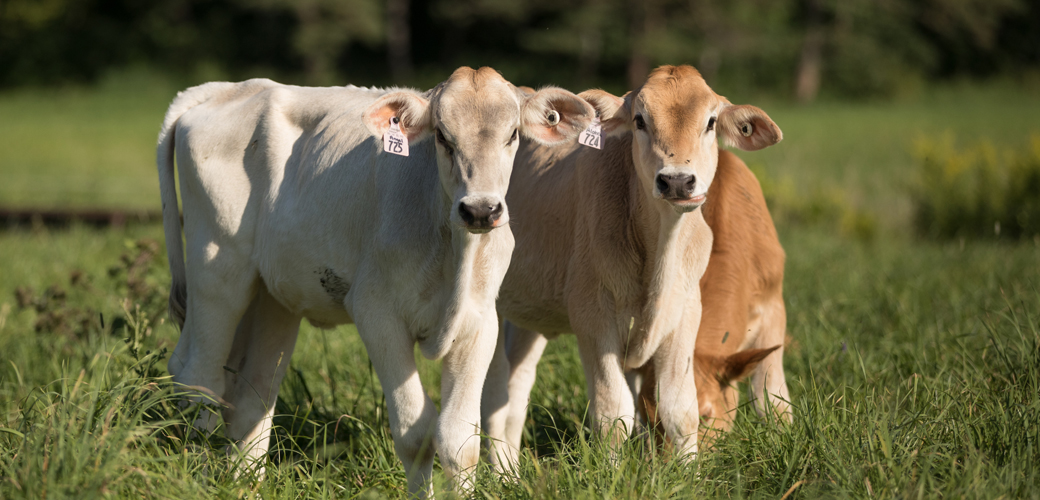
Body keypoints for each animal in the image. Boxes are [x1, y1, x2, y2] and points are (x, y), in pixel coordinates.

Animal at [154, 67, 594, 494]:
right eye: (442, 136)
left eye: (513, 134)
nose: (480, 210)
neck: (453, 248)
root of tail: (228, 88)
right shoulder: (376, 312)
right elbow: (416, 435)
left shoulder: (481, 321)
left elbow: (458, 439)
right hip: (216, 269)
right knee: (199, 381)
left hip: (273, 296)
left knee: (252, 393)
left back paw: (243, 482)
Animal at [482, 64, 782, 465]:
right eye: (640, 120)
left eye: (710, 122)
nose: (676, 180)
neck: (659, 255)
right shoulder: (593, 317)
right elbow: (614, 414)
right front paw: (612, 471)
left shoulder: (686, 313)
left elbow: (679, 410)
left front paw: (688, 473)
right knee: (493, 393)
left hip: (530, 312)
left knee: (515, 390)